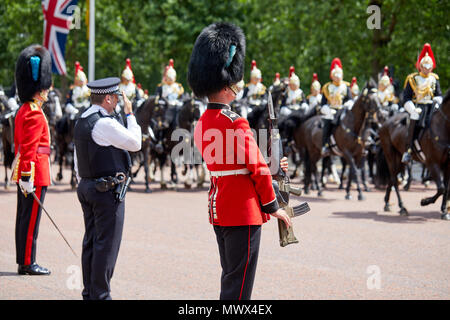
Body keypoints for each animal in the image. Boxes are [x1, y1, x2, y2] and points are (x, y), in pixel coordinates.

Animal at [376, 90, 450, 220]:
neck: (442, 127)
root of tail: (386, 123)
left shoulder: (447, 164)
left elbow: (446, 187)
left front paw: (444, 210)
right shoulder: (432, 163)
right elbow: (441, 188)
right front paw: (425, 201)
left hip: (399, 159)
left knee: (392, 178)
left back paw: (387, 203)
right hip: (390, 156)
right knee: (394, 179)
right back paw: (402, 207)